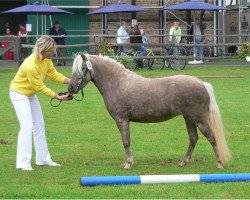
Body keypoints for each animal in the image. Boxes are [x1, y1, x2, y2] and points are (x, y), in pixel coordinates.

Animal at [68, 52, 230, 169]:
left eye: (82, 68)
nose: (70, 88)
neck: (117, 83)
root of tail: (202, 83)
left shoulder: (122, 119)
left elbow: (126, 141)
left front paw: (128, 163)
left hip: (199, 119)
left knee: (211, 137)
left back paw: (219, 163)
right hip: (189, 118)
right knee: (193, 139)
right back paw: (183, 162)